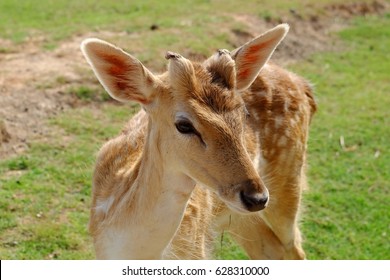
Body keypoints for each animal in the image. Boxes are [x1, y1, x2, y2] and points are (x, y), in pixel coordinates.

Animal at [80, 24, 316, 260]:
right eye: (184, 125)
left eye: (244, 114)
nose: (256, 197)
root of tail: (303, 84)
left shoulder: (196, 250)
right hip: (240, 217)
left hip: (288, 182)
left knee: (295, 248)